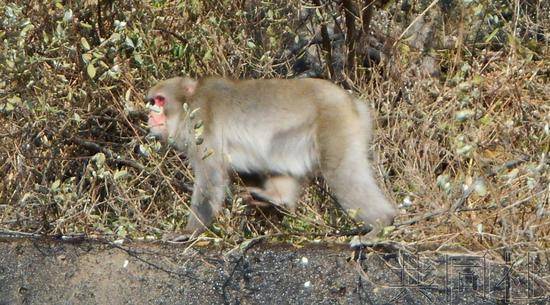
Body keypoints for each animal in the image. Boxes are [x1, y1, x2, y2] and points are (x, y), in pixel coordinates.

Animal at [147, 76, 396, 240]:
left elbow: (211, 177)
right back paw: (278, 198)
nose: (150, 115)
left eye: (160, 100)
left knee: (341, 171)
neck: (188, 103)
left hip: (335, 122)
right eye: (152, 102)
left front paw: (189, 231)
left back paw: (382, 222)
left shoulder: (199, 126)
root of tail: (354, 104)